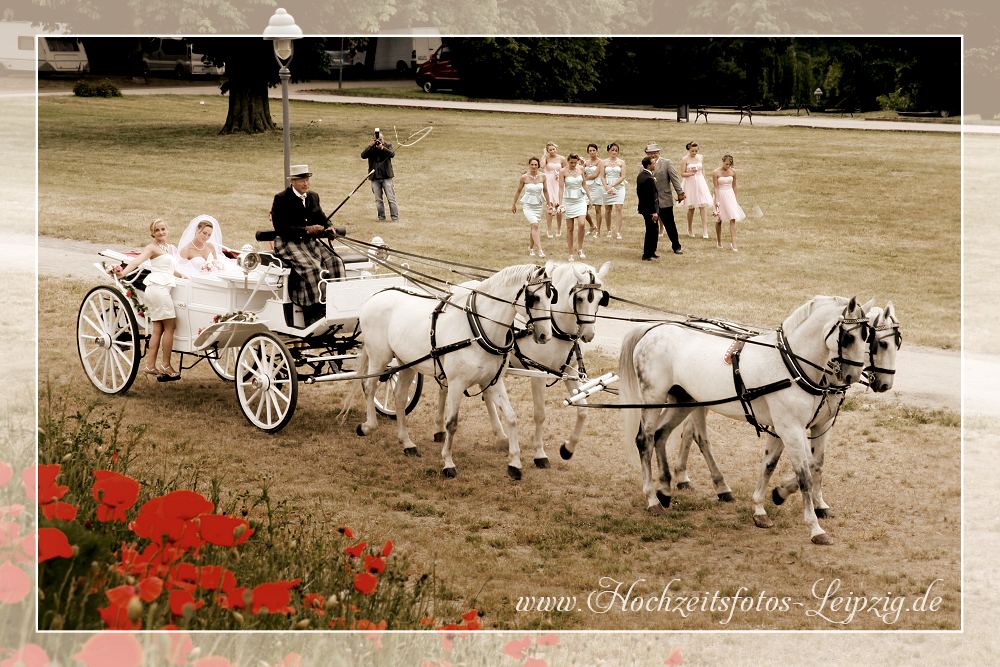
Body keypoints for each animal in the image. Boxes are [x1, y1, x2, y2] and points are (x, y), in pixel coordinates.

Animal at [354, 262, 560, 480]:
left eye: (551, 296)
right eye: (534, 297)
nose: (545, 335)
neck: (478, 330)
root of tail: (376, 295)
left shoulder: (493, 382)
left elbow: (511, 417)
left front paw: (514, 464)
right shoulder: (456, 384)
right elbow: (451, 423)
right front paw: (448, 463)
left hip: (406, 362)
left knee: (400, 396)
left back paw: (407, 443)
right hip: (379, 356)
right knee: (369, 387)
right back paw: (368, 426)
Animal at [464, 260, 612, 470]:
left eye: (600, 299)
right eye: (580, 298)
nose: (588, 334)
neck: (556, 328)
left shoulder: (568, 373)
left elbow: (583, 409)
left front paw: (568, 448)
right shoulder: (538, 375)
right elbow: (540, 414)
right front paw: (540, 454)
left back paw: (501, 436)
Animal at [620, 294, 872, 544]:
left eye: (867, 337)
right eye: (848, 337)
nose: (853, 376)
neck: (789, 365)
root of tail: (653, 329)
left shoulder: (784, 427)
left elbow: (770, 464)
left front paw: (762, 507)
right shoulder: (791, 428)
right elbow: (805, 475)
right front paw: (815, 528)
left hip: (684, 400)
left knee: (661, 434)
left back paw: (665, 491)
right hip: (653, 398)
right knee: (645, 440)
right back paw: (652, 499)